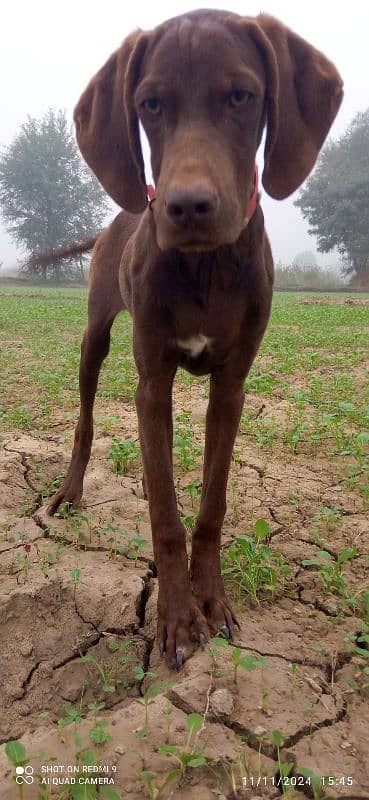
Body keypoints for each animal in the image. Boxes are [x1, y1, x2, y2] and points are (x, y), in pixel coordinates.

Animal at [46, 9, 342, 664]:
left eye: (241, 97)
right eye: (151, 104)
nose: (185, 207)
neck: (206, 266)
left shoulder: (231, 385)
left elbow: (210, 503)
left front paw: (212, 600)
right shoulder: (151, 380)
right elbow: (165, 512)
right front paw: (178, 619)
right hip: (96, 338)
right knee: (85, 419)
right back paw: (71, 492)